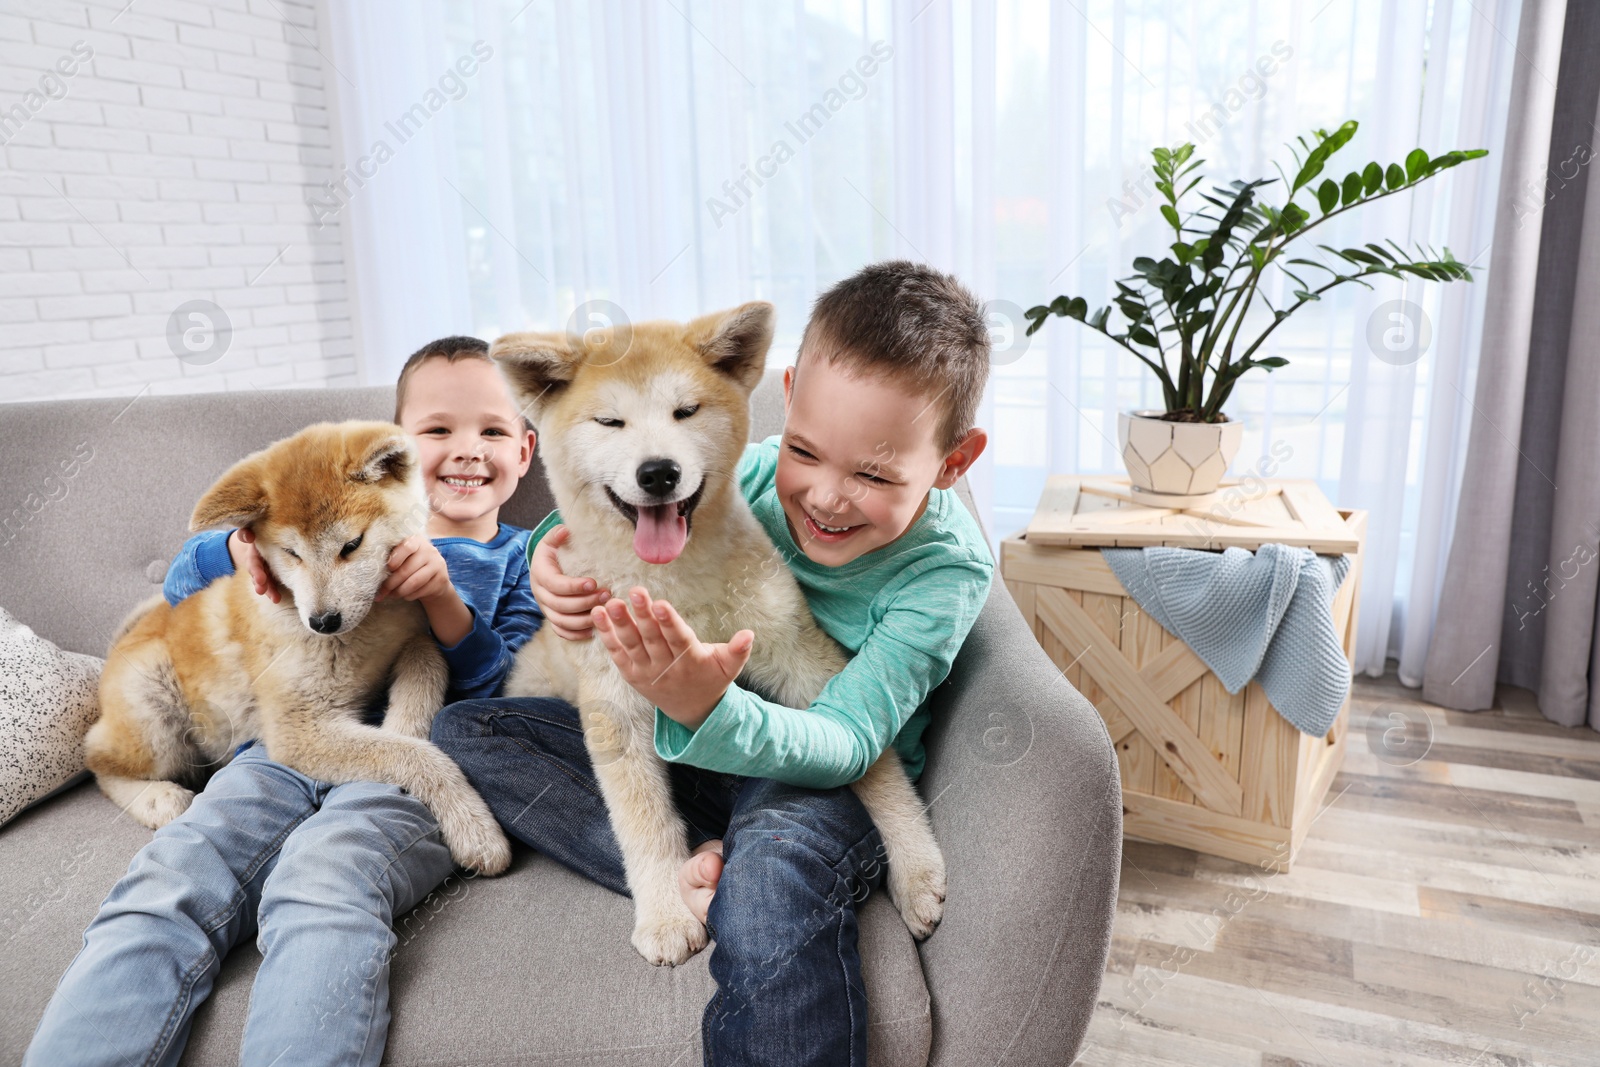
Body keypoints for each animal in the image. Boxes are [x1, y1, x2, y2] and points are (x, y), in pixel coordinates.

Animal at [87, 419, 512, 876]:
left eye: (351, 545)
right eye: (291, 553)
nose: (323, 622)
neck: (368, 627)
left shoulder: (416, 633)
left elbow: (428, 663)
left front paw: (405, 721)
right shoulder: (299, 731)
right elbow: (417, 757)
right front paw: (475, 828)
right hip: (154, 709)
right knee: (97, 758)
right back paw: (156, 798)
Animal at [486, 302, 934, 966]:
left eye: (686, 411)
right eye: (610, 421)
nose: (657, 472)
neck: (676, 586)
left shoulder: (802, 660)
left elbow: (875, 766)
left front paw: (915, 860)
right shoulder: (615, 707)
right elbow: (642, 821)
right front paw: (666, 915)